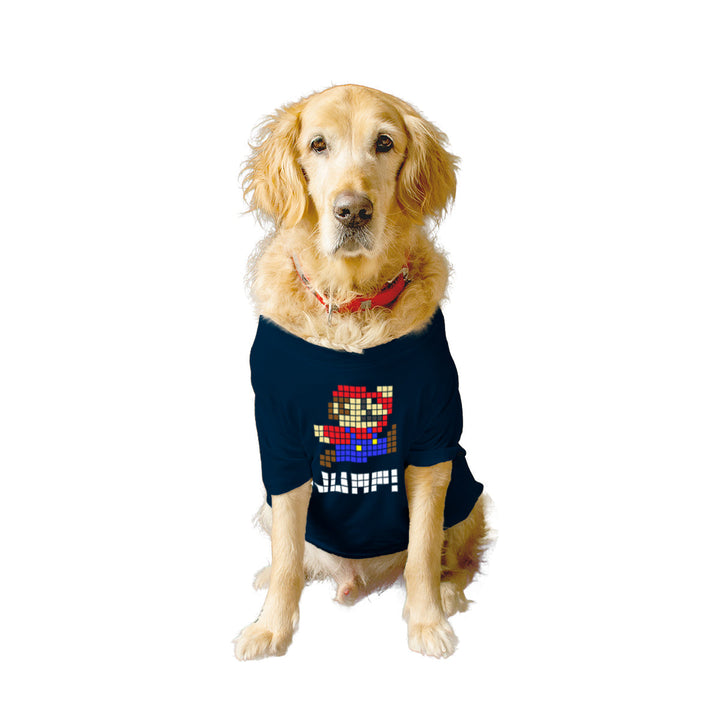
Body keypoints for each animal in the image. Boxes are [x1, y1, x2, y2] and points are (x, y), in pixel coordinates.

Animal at [234, 84, 491, 660]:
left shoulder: (433, 447)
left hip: (469, 490)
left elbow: (422, 551)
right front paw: (270, 628)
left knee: (456, 558)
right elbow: (288, 556)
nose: (353, 211)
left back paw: (449, 591)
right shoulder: (281, 450)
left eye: (384, 143)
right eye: (318, 144)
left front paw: (427, 622)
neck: (351, 304)